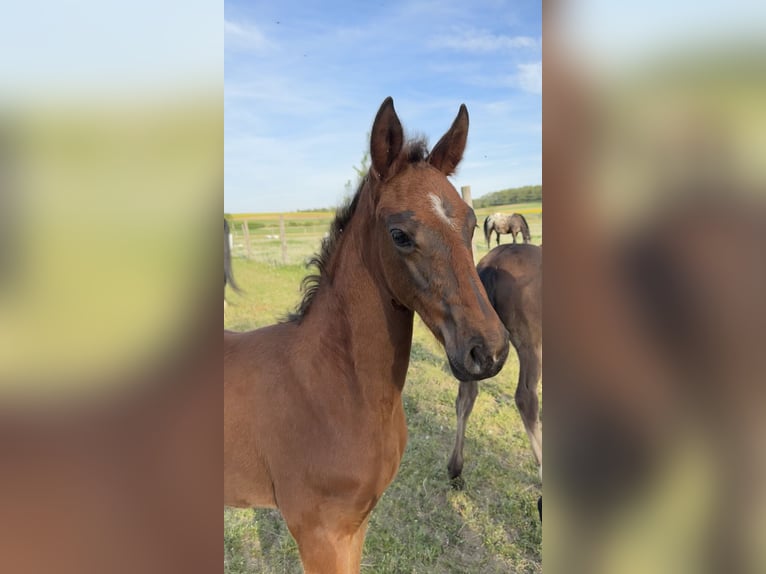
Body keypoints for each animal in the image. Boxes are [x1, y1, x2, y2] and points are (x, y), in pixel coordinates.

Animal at [224, 97, 510, 572]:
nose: (488, 351)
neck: (333, 388)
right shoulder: (318, 534)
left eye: (471, 226)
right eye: (399, 234)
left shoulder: (355, 526)